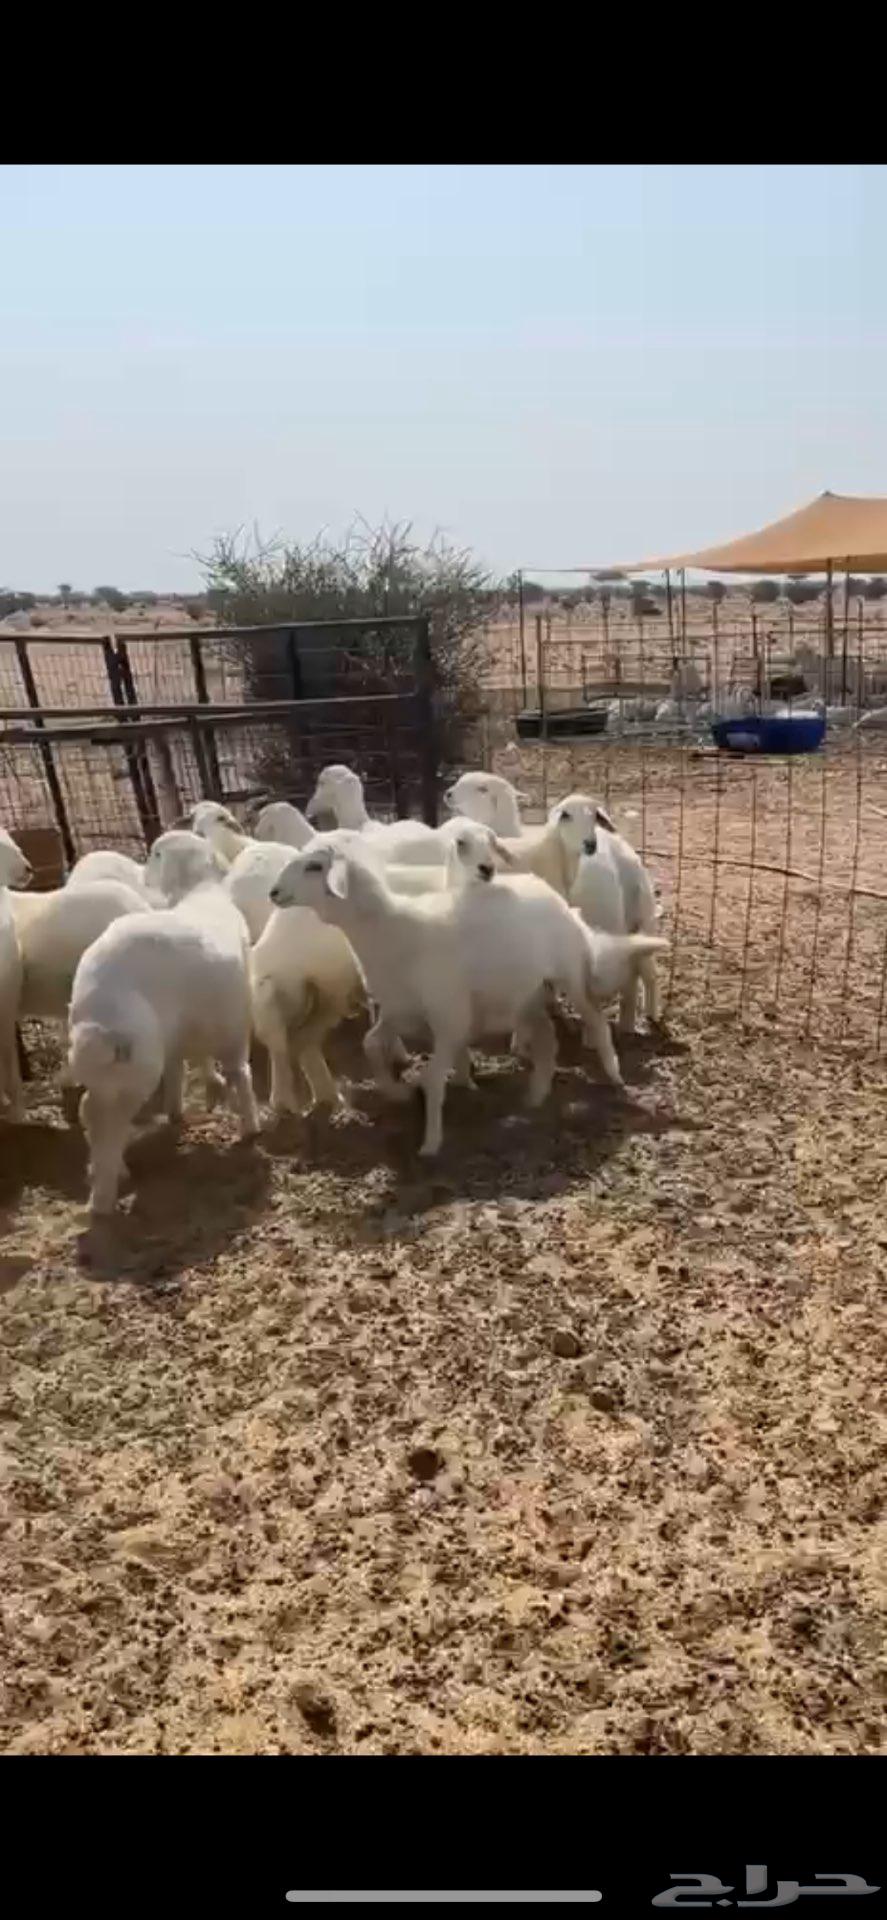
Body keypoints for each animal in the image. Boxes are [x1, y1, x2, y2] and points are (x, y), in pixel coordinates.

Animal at [69, 832, 258, 1213]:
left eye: (156, 854)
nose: (141, 872)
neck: (200, 892)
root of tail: (97, 1008)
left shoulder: (184, 1028)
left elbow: (184, 1066)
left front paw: (178, 1109)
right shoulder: (233, 1020)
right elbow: (239, 1072)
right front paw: (250, 1126)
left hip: (109, 1067)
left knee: (90, 1110)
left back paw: (108, 1172)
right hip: (138, 1060)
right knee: (109, 1120)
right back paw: (103, 1196)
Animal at [269, 836, 667, 1156]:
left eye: (315, 866)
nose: (273, 892)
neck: (392, 930)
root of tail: (557, 899)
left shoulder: (450, 1019)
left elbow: (432, 1080)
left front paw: (430, 1143)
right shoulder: (399, 1010)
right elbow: (370, 1043)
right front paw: (396, 1092)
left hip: (569, 973)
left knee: (596, 1021)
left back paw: (614, 1076)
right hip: (528, 994)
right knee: (547, 1040)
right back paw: (535, 1097)